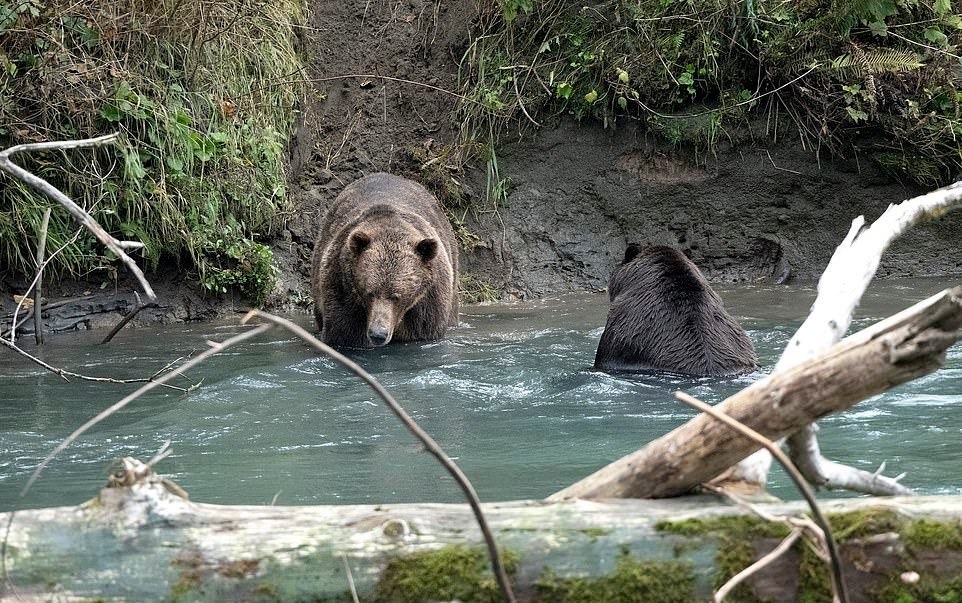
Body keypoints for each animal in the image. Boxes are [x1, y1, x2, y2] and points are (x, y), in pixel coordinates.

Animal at [308, 172, 458, 346]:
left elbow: (424, 330)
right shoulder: (342, 289)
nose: (378, 334)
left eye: (396, 296)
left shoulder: (426, 304)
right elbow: (344, 333)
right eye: (369, 293)